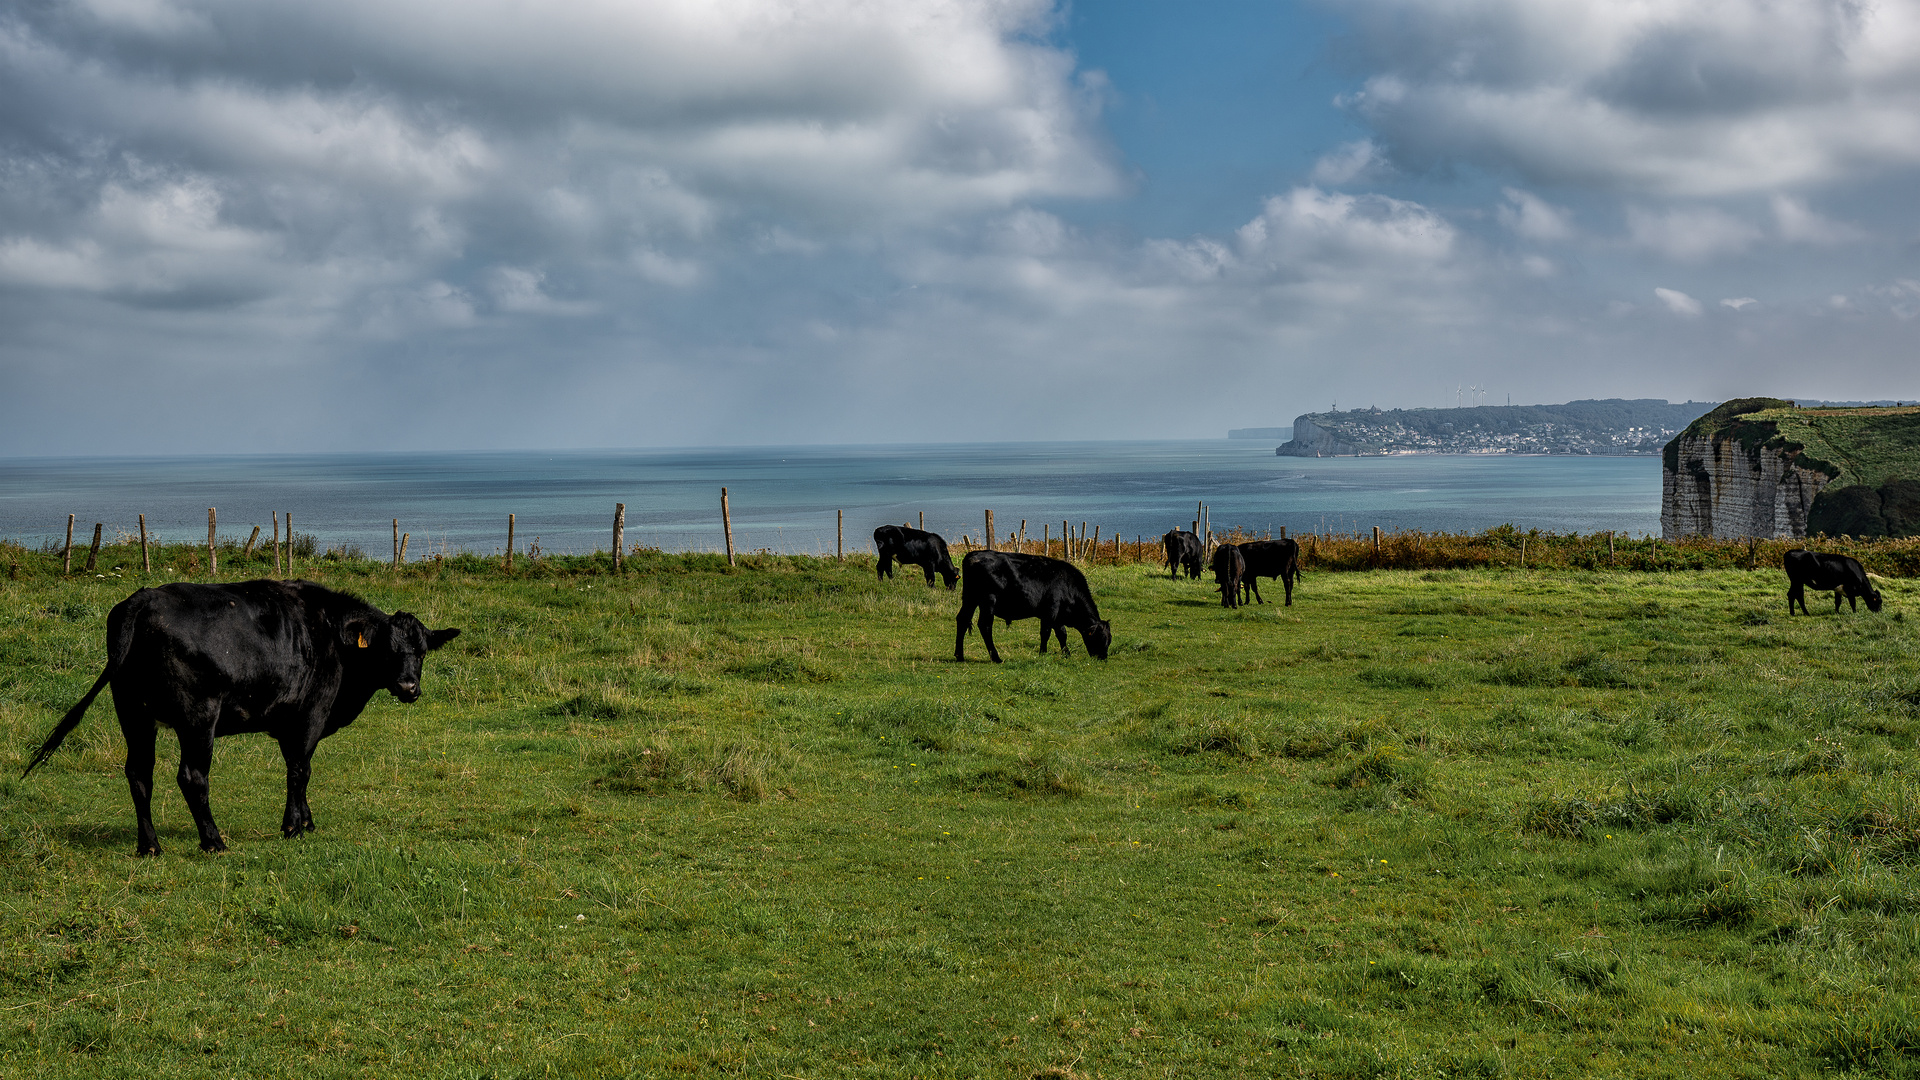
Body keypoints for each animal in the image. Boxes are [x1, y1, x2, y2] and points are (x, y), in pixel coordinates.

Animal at [24, 576, 458, 853]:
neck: (333, 636)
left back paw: (150, 846)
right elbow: (300, 770)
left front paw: (305, 820)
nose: (408, 687)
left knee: (139, 774)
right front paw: (293, 827)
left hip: (133, 712)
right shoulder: (310, 714)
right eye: (387, 650)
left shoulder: (288, 722)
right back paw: (213, 841)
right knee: (192, 777)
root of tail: (142, 600)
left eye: (421, 651)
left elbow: (296, 768)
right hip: (199, 717)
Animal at [956, 549, 1113, 661]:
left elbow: (1062, 634)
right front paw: (1043, 653)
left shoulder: (1058, 615)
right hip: (988, 600)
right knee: (985, 625)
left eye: (1109, 640)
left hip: (970, 599)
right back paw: (996, 657)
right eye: (1100, 638)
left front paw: (1066, 654)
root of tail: (973, 555)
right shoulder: (1050, 611)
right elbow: (1046, 632)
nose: (1103, 658)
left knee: (962, 619)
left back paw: (959, 656)